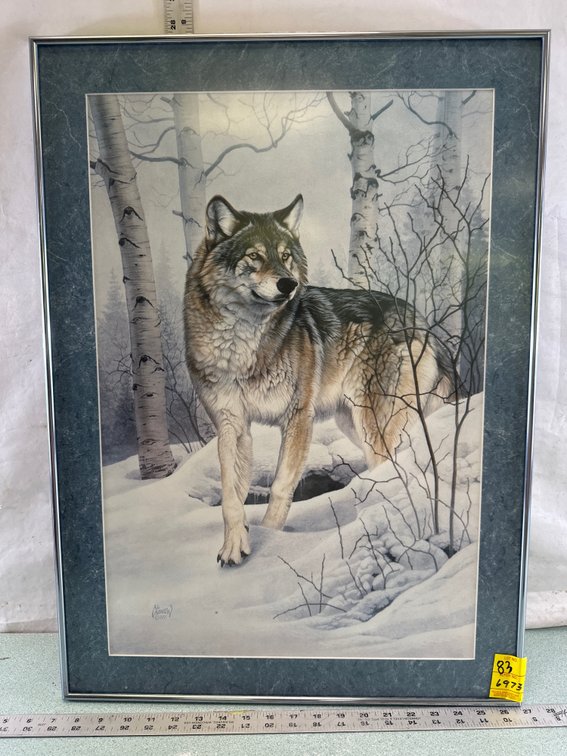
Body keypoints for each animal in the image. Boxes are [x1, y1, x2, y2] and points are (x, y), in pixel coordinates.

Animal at [184, 195, 455, 566]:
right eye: (254, 256)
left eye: (285, 256)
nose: (288, 284)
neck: (243, 344)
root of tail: (423, 321)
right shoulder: (231, 425)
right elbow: (230, 497)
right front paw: (234, 547)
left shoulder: (298, 418)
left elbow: (281, 486)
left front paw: (272, 540)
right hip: (352, 423)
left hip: (373, 424)